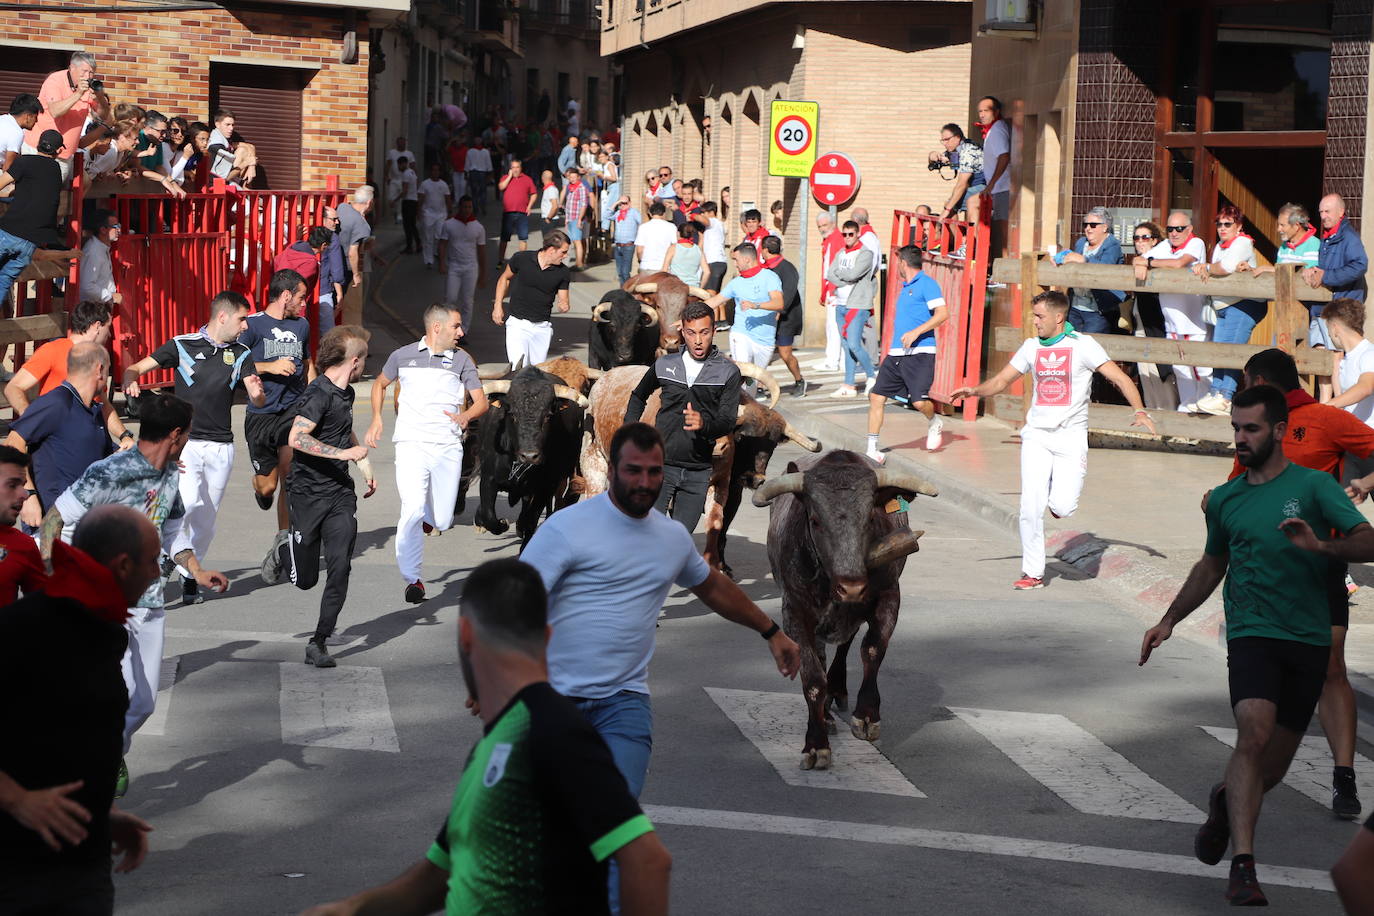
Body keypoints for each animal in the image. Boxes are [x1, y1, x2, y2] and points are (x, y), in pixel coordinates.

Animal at [752, 450, 934, 774]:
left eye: (871, 517)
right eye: (815, 520)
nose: (851, 587)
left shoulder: (889, 597)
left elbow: (872, 650)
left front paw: (867, 716)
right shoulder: (795, 612)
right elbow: (812, 677)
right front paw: (816, 744)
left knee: (845, 644)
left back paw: (837, 689)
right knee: (823, 655)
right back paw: (825, 713)